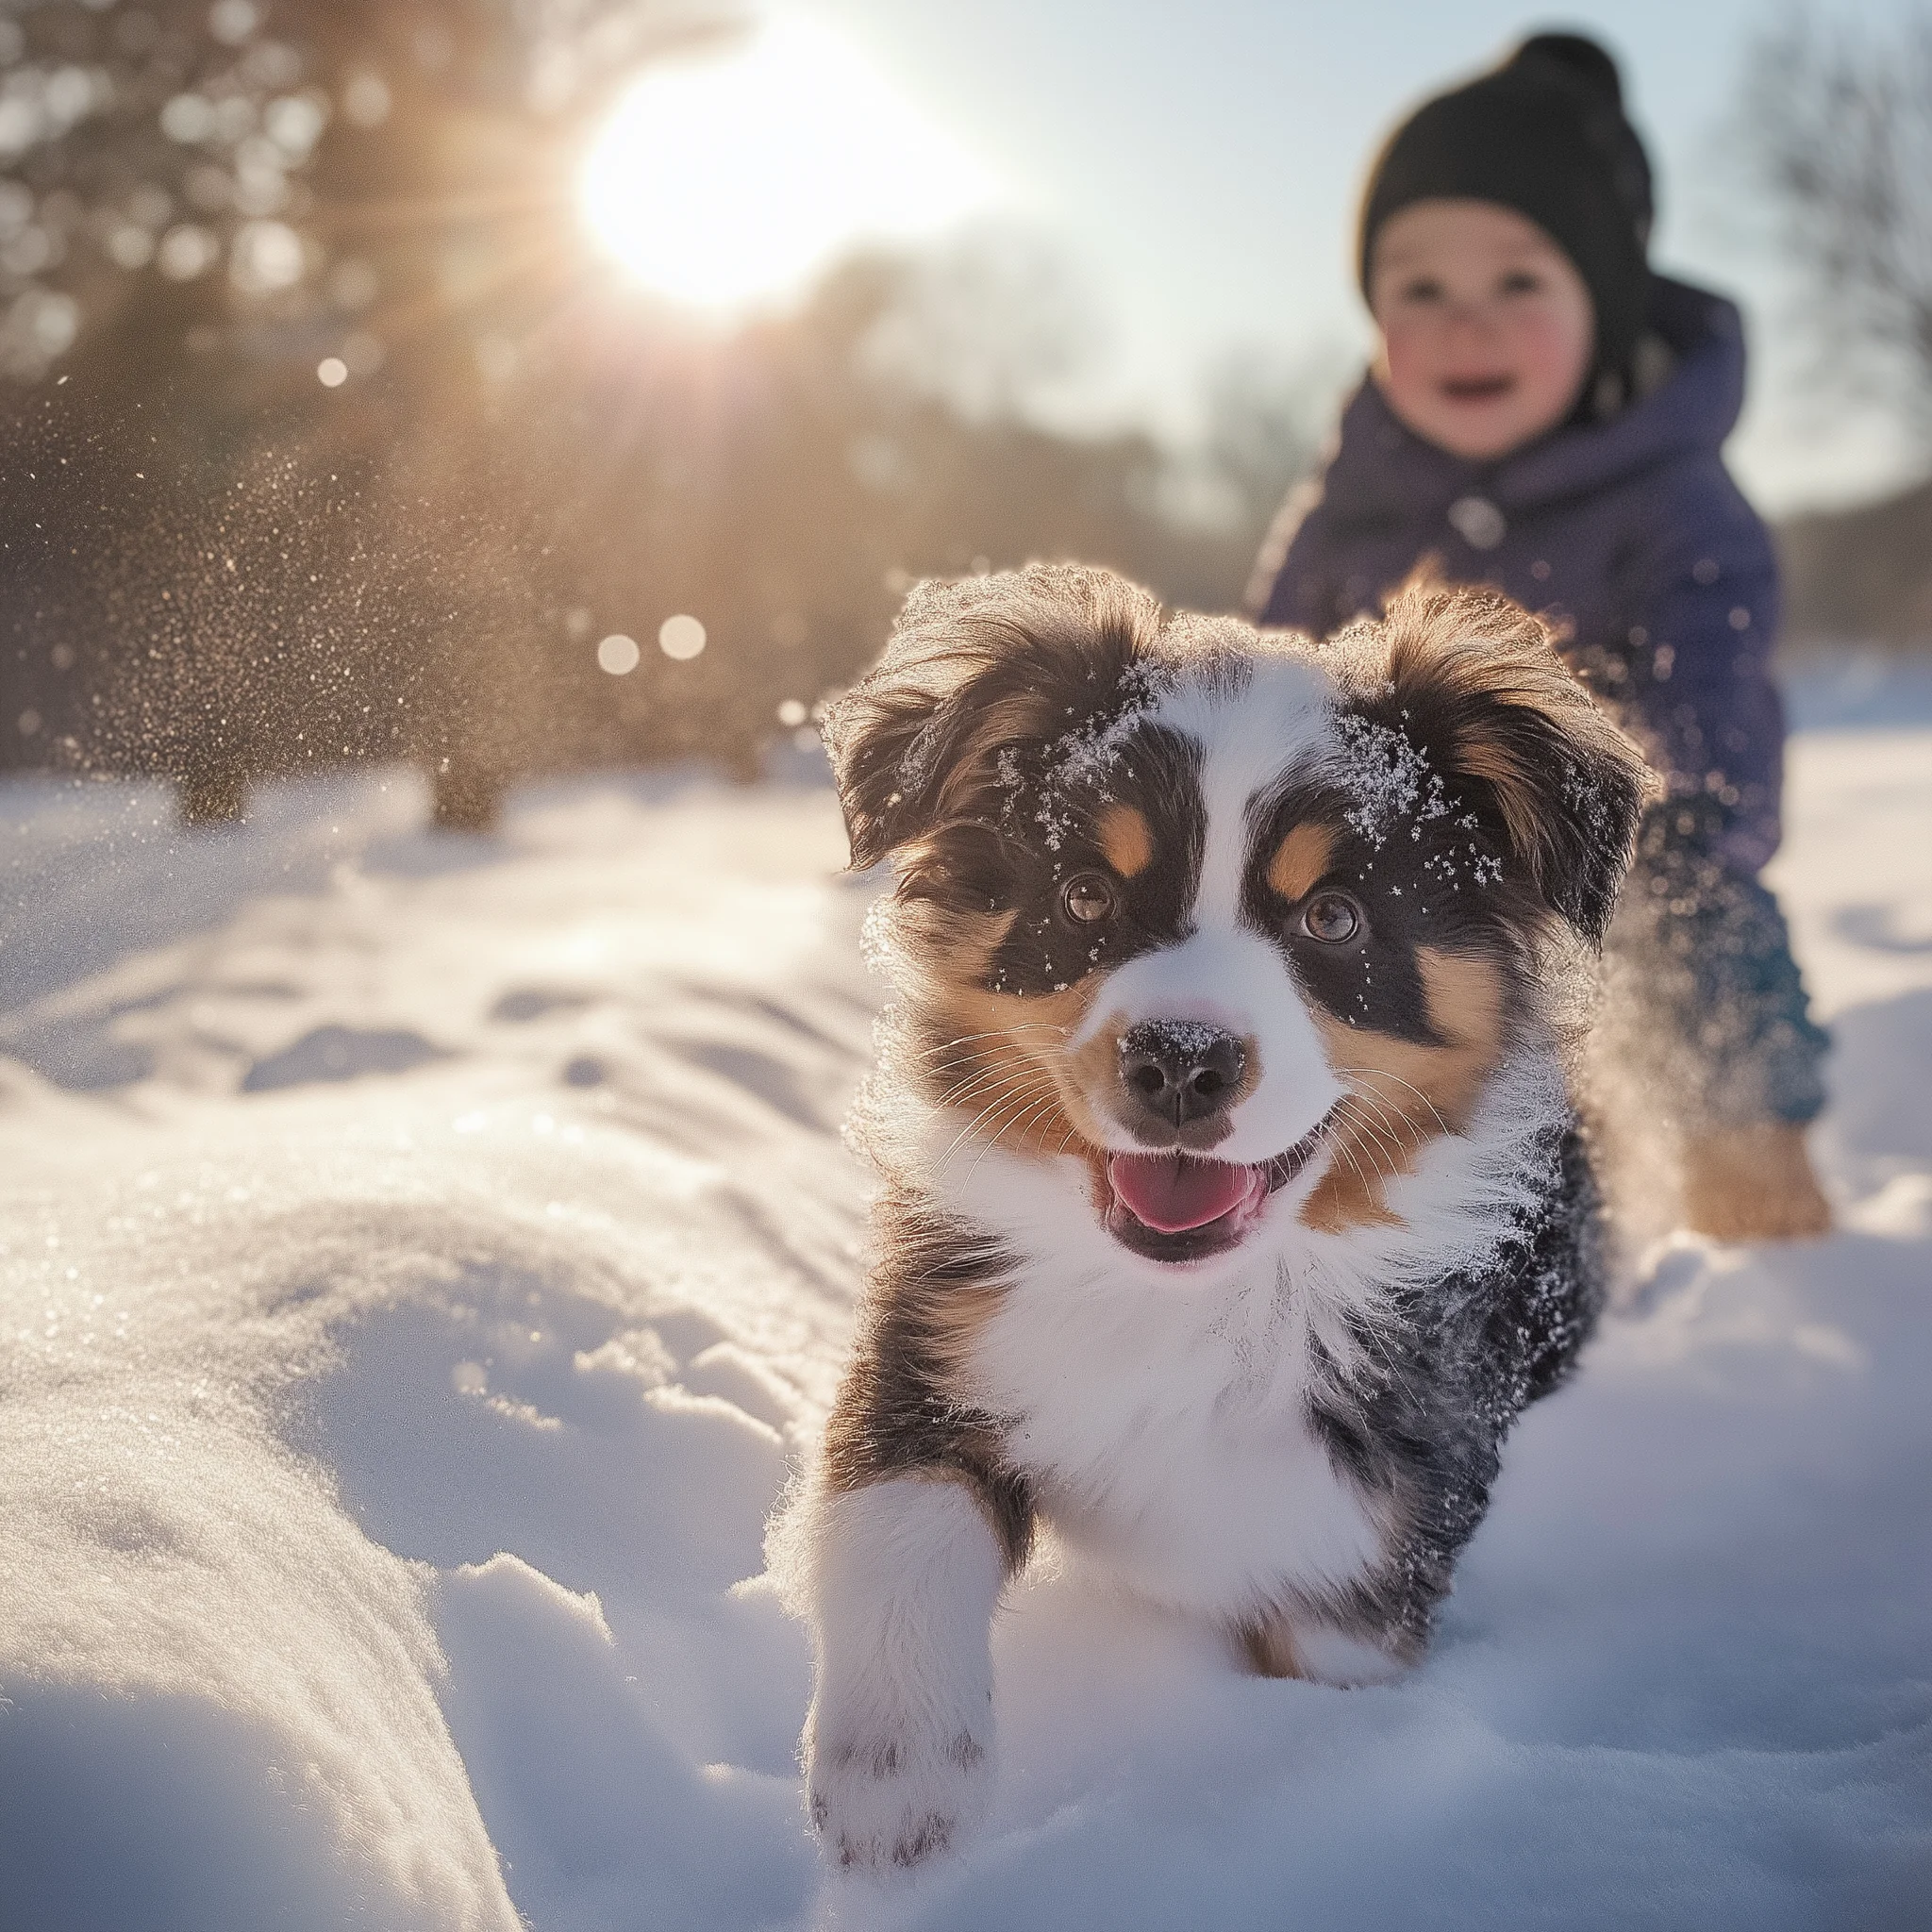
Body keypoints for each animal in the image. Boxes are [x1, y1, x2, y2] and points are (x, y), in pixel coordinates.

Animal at [776, 564, 1654, 1870]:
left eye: (1333, 916)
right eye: (1085, 892)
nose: (1180, 1059)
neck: (1191, 1302)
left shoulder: (1379, 1521)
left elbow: (1328, 1650)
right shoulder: (943, 1321)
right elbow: (900, 1510)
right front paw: (898, 1777)